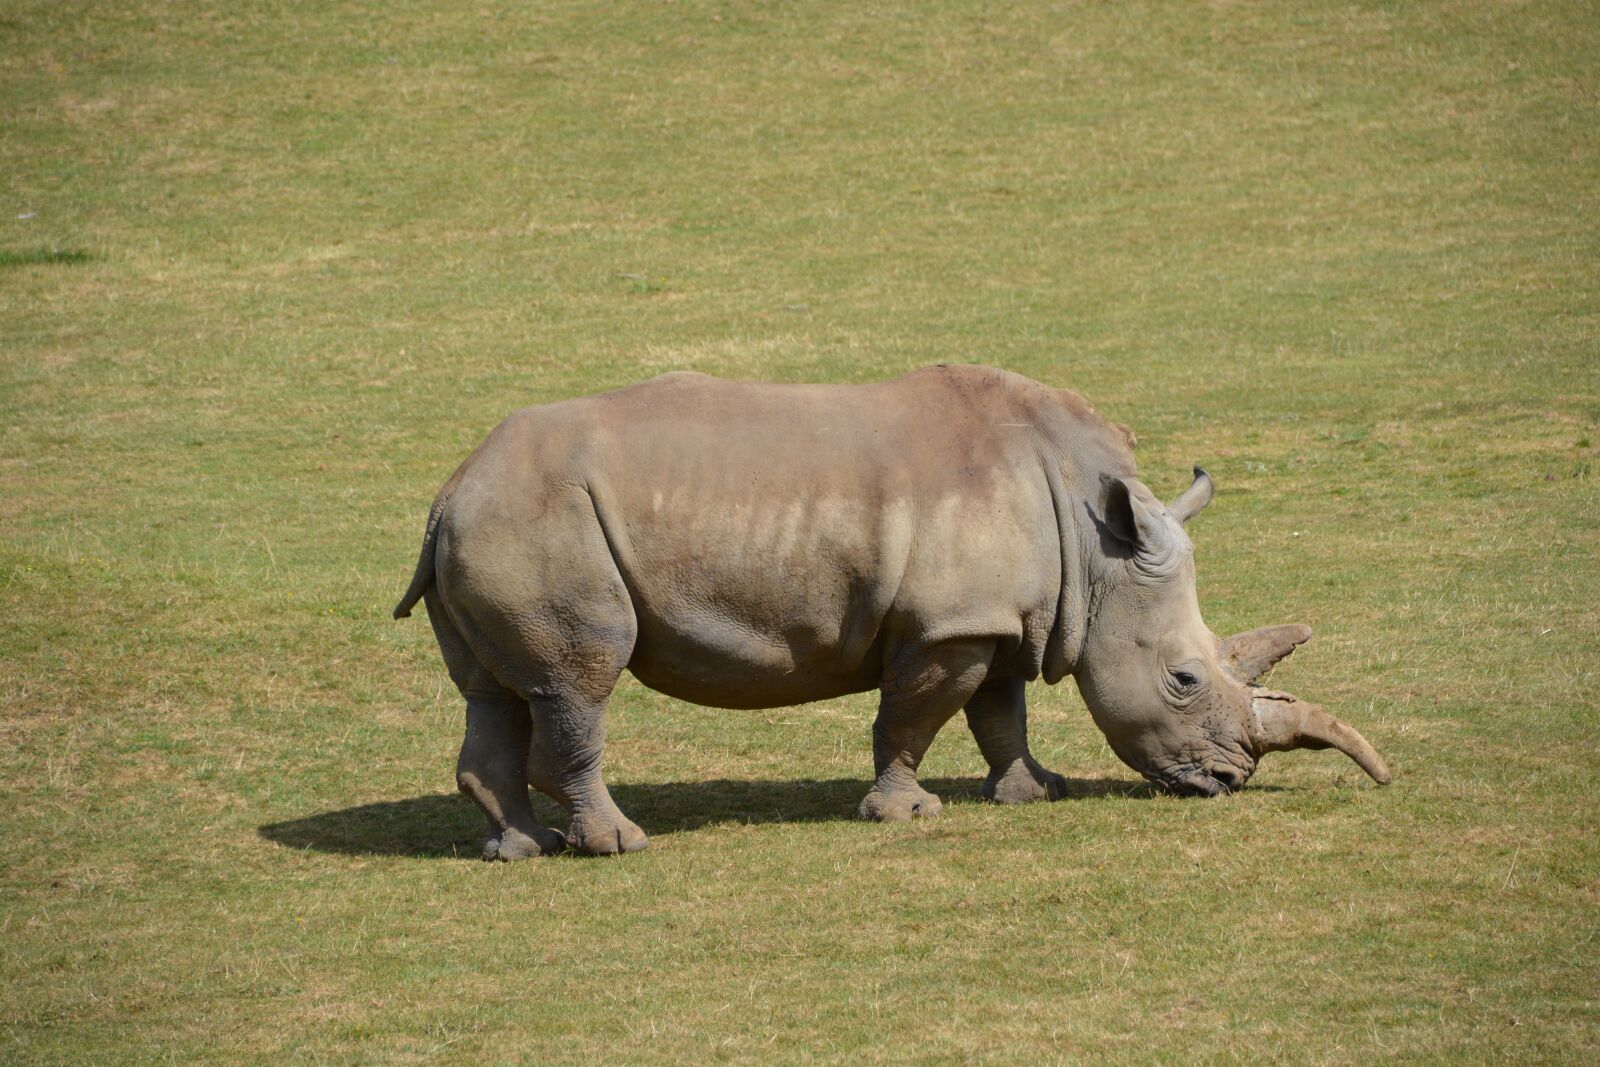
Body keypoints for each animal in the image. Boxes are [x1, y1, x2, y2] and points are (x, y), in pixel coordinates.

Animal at [395, 365, 1390, 859]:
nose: (1231, 779)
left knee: (497, 691)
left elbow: (999, 713)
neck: (1091, 535)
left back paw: (521, 848)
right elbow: (916, 716)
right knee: (578, 681)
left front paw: (1036, 791)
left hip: (495, 523)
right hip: (539, 522)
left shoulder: (996, 615)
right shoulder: (949, 623)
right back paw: (619, 845)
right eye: (1183, 678)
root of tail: (446, 493)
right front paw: (908, 815)